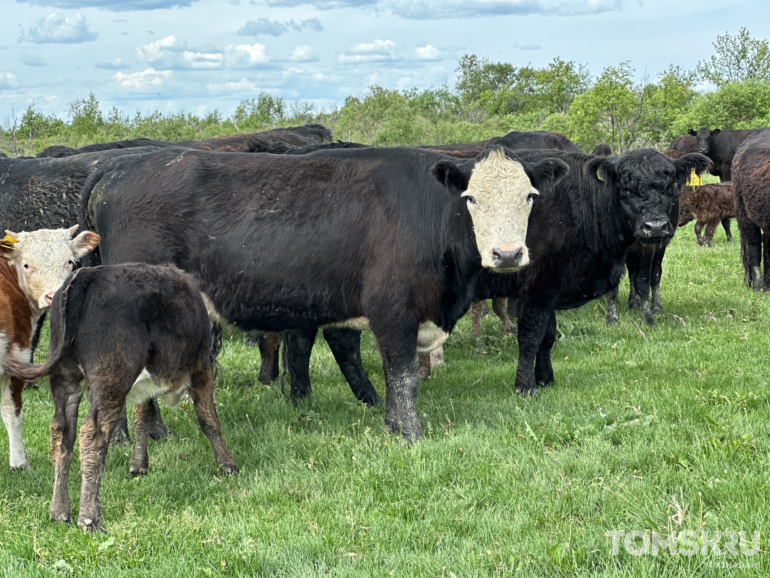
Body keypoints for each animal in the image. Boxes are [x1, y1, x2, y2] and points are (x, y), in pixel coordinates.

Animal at [0, 224, 100, 468]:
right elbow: (12, 412)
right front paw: (19, 462)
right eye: (26, 264)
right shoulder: (19, 355)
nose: (53, 296)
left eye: (70, 261)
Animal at [81, 146, 568, 438]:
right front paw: (409, 432)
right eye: (471, 198)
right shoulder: (393, 309)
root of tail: (119, 167)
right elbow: (404, 374)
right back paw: (124, 437)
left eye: (528, 196)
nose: (508, 254)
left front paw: (390, 420)